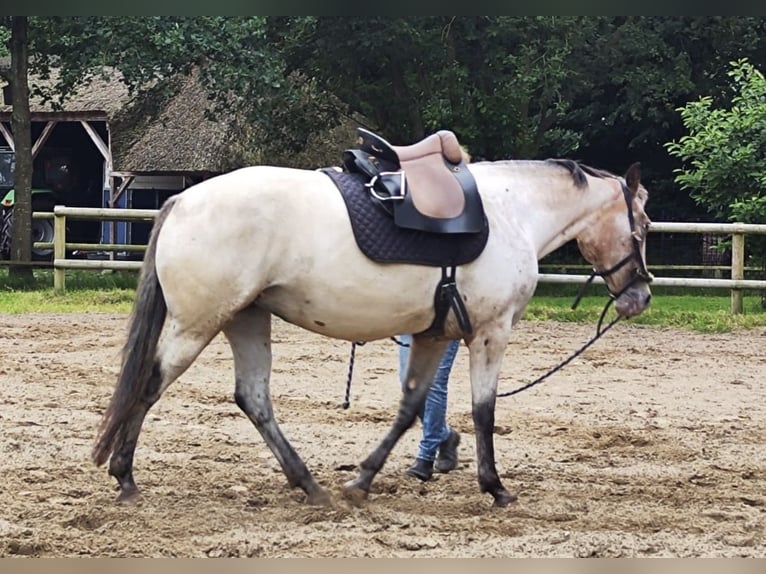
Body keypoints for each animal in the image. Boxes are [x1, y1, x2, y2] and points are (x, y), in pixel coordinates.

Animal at [91, 158, 656, 508]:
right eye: (645, 224)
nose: (640, 297)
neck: (511, 212)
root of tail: (182, 201)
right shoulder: (489, 333)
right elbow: (483, 412)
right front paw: (495, 487)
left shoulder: (435, 336)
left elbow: (411, 409)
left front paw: (362, 479)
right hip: (196, 325)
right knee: (148, 386)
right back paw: (125, 476)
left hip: (245, 318)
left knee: (253, 398)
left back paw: (309, 485)